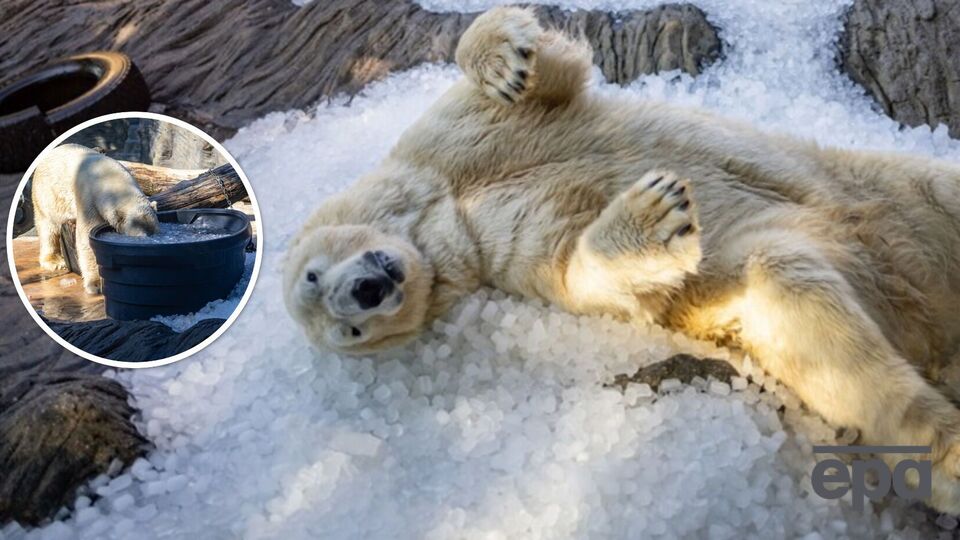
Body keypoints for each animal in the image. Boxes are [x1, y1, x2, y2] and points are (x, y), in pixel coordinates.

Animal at [31, 143, 159, 294]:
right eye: (140, 237)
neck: (109, 176)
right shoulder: (89, 200)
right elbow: (87, 239)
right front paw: (95, 284)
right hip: (46, 195)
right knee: (48, 227)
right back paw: (55, 261)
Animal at [284, 7, 960, 513]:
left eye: (314, 277)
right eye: (348, 333)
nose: (364, 293)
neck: (445, 200)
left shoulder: (452, 137)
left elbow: (547, 76)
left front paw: (507, 59)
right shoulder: (494, 250)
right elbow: (580, 273)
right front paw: (655, 212)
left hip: (887, 185)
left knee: (937, 188)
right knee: (801, 305)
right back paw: (947, 454)